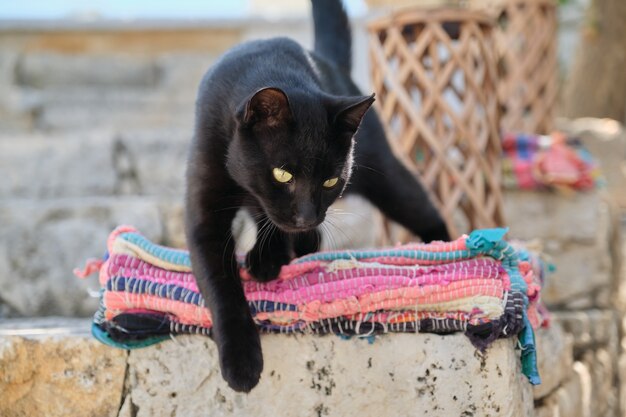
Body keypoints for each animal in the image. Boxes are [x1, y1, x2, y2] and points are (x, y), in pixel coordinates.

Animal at [183, 0, 446, 392]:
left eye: (330, 181)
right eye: (283, 174)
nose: (307, 215)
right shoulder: (205, 215)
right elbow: (222, 286)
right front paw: (241, 361)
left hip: (385, 175)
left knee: (424, 209)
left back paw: (449, 248)